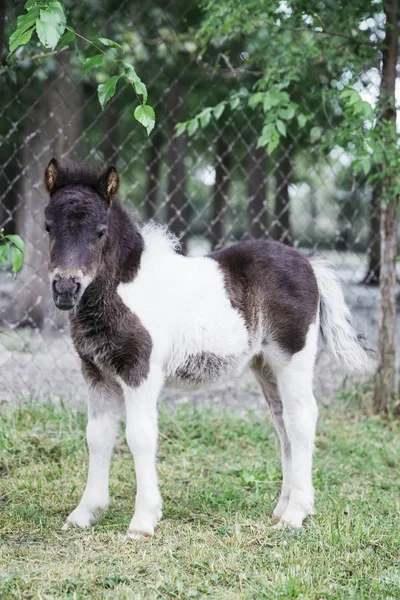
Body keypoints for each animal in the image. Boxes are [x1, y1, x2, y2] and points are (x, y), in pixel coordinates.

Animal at [43, 159, 376, 540]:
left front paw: (143, 521)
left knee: (301, 419)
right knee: (282, 424)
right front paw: (85, 513)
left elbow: (140, 436)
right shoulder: (96, 372)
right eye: (48, 226)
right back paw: (281, 507)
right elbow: (97, 437)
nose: (65, 288)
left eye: (99, 232)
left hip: (293, 357)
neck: (124, 289)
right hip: (265, 363)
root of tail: (309, 263)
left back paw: (297, 513)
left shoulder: (140, 370)